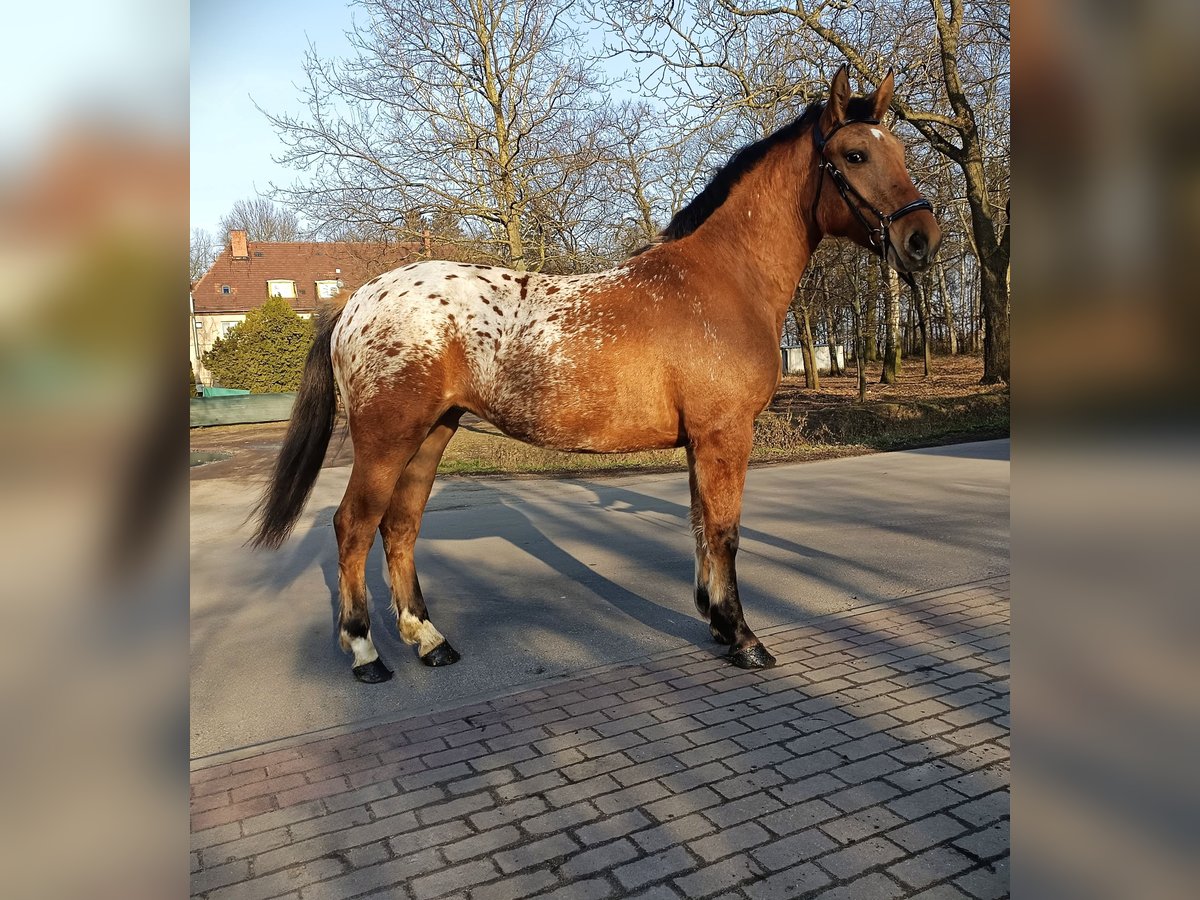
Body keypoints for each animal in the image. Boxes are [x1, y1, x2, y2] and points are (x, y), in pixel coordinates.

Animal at [250, 66, 936, 681]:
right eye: (854, 154)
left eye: (899, 149)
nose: (922, 238)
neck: (722, 279)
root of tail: (357, 299)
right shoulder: (724, 435)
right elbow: (725, 531)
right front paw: (743, 639)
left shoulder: (702, 442)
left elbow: (700, 529)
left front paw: (716, 624)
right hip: (387, 437)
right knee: (354, 526)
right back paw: (366, 652)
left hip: (433, 432)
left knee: (400, 526)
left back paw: (430, 640)